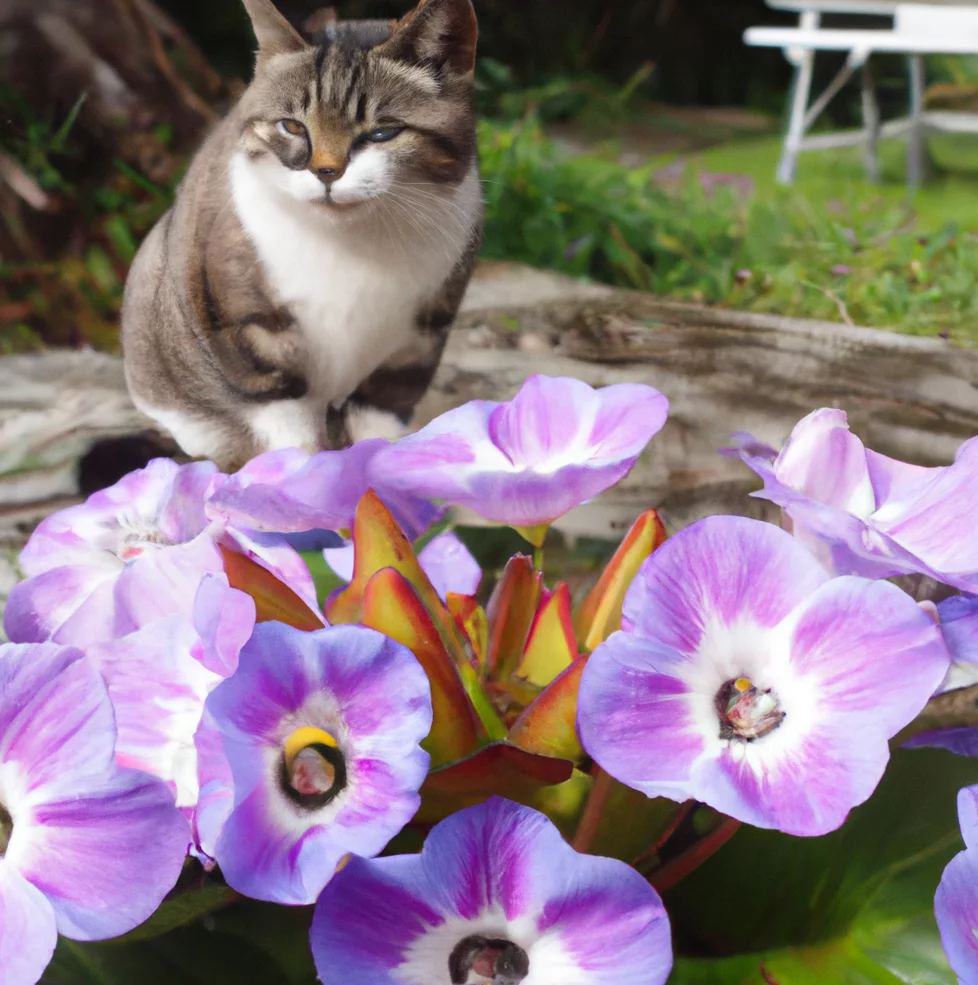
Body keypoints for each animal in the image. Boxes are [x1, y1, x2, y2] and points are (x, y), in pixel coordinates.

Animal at [124, 0, 482, 472]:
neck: (351, 244)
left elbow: (380, 415)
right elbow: (288, 421)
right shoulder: (252, 331)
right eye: (292, 127)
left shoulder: (419, 338)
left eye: (383, 132)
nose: (326, 171)